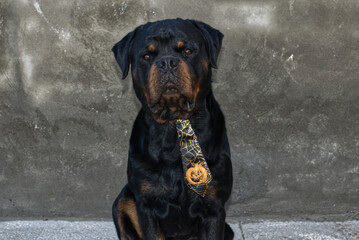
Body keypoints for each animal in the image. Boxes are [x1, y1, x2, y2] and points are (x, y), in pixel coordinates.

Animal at [113, 17, 236, 239]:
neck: (174, 124)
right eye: (146, 56)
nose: (167, 62)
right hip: (122, 201)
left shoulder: (214, 207)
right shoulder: (146, 205)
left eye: (187, 51)